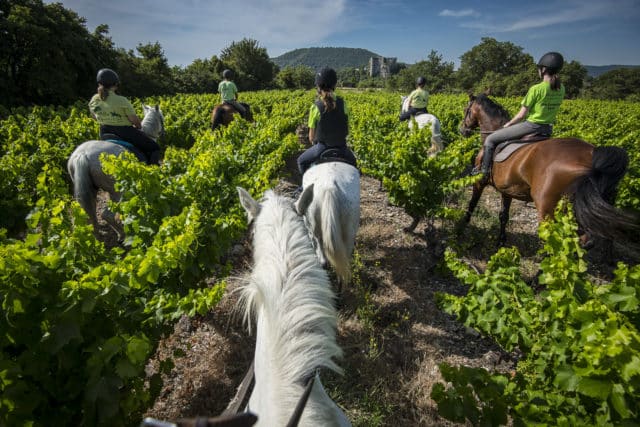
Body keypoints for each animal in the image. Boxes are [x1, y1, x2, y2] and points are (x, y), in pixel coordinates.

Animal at [65, 104, 164, 241]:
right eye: (161, 117)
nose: (162, 132)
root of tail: (82, 155)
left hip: (91, 189)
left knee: (89, 213)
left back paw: (97, 235)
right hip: (117, 191)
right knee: (106, 214)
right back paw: (122, 235)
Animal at [458, 93, 636, 247]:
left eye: (466, 109)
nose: (462, 130)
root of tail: (593, 159)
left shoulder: (479, 183)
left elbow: (472, 204)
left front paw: (461, 226)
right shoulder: (507, 190)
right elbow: (503, 215)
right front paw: (501, 241)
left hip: (548, 208)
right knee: (585, 241)